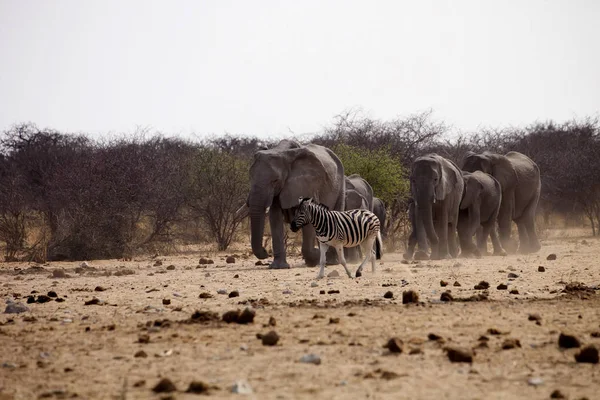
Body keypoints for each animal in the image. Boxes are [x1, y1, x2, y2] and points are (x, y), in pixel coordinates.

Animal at [239, 140, 344, 268]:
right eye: (250, 177)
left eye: (275, 181)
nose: (265, 252)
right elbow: (275, 217)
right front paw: (278, 267)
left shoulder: (307, 184)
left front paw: (315, 256)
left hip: (340, 185)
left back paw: (331, 262)